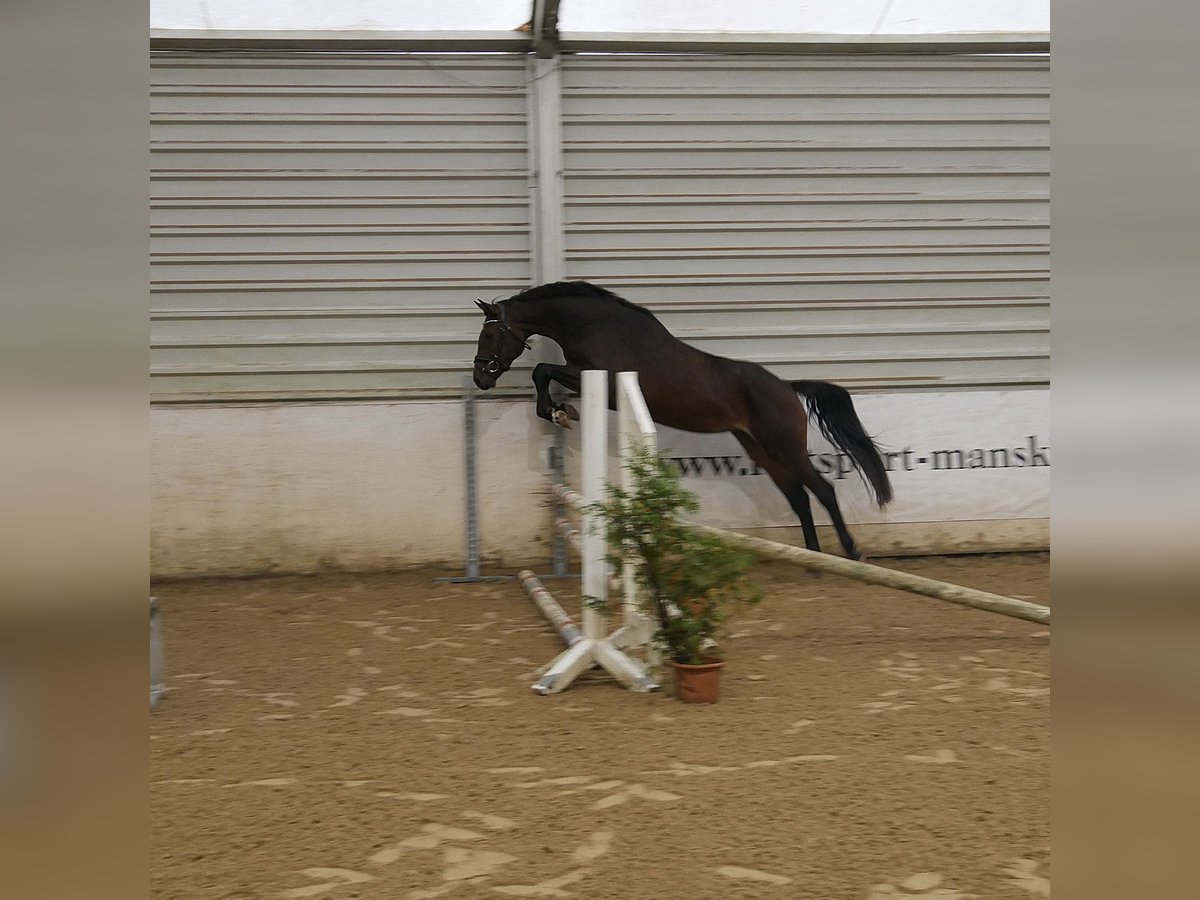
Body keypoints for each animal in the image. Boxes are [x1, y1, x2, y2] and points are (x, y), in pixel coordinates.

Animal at [468, 282, 892, 564]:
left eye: (489, 334)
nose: (480, 378)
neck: (595, 324)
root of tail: (787, 387)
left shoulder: (602, 380)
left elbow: (542, 369)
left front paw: (557, 412)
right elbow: (544, 372)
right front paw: (559, 411)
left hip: (784, 448)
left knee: (823, 491)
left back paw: (849, 553)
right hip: (762, 451)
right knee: (800, 498)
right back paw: (815, 560)